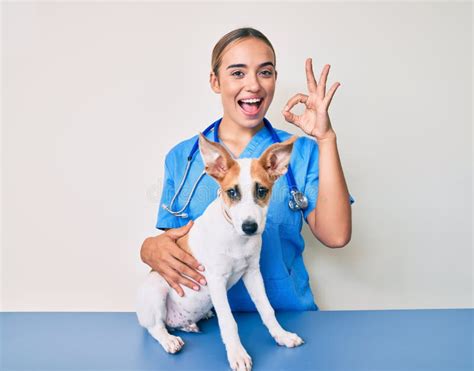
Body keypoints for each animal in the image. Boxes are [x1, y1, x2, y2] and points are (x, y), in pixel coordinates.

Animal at [135, 132, 304, 370]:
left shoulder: (253, 273)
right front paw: (237, 354)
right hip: (156, 286)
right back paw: (169, 340)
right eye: (232, 192)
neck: (236, 237)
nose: (249, 227)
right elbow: (228, 321)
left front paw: (282, 335)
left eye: (262, 191)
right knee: (155, 327)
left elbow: (267, 309)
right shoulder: (215, 279)